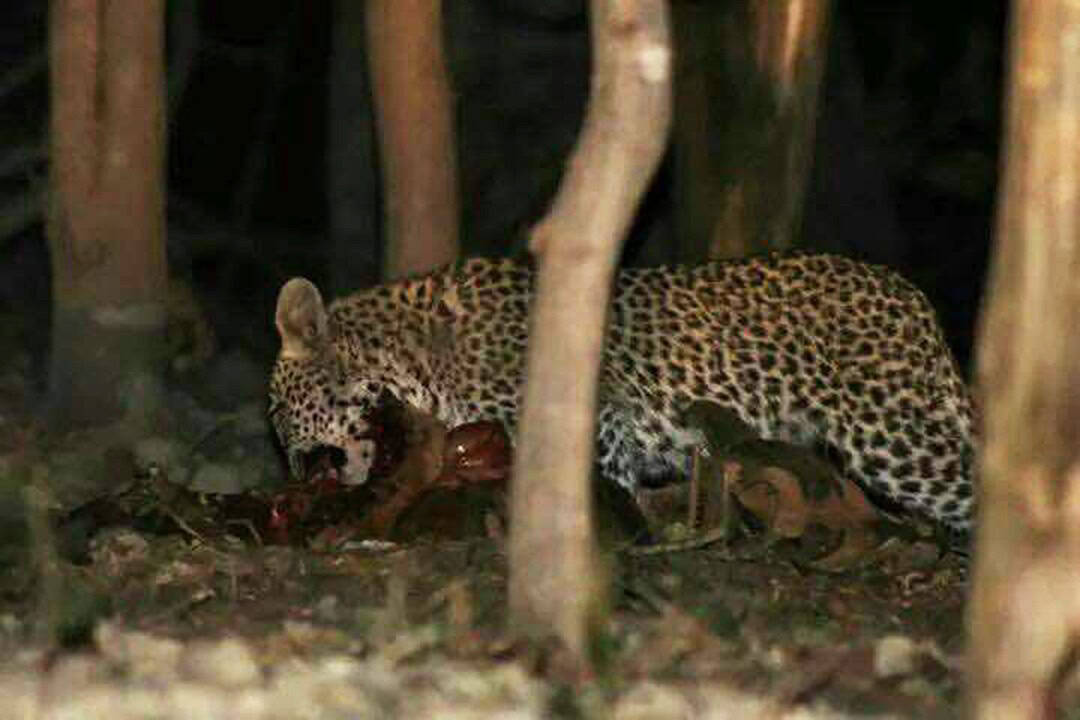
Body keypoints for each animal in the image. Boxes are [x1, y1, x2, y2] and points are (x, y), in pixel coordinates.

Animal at [268, 253, 977, 533]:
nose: (290, 467)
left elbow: (603, 474)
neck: (417, 361)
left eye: (277, 409)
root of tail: (913, 298)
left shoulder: (597, 412)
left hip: (893, 436)